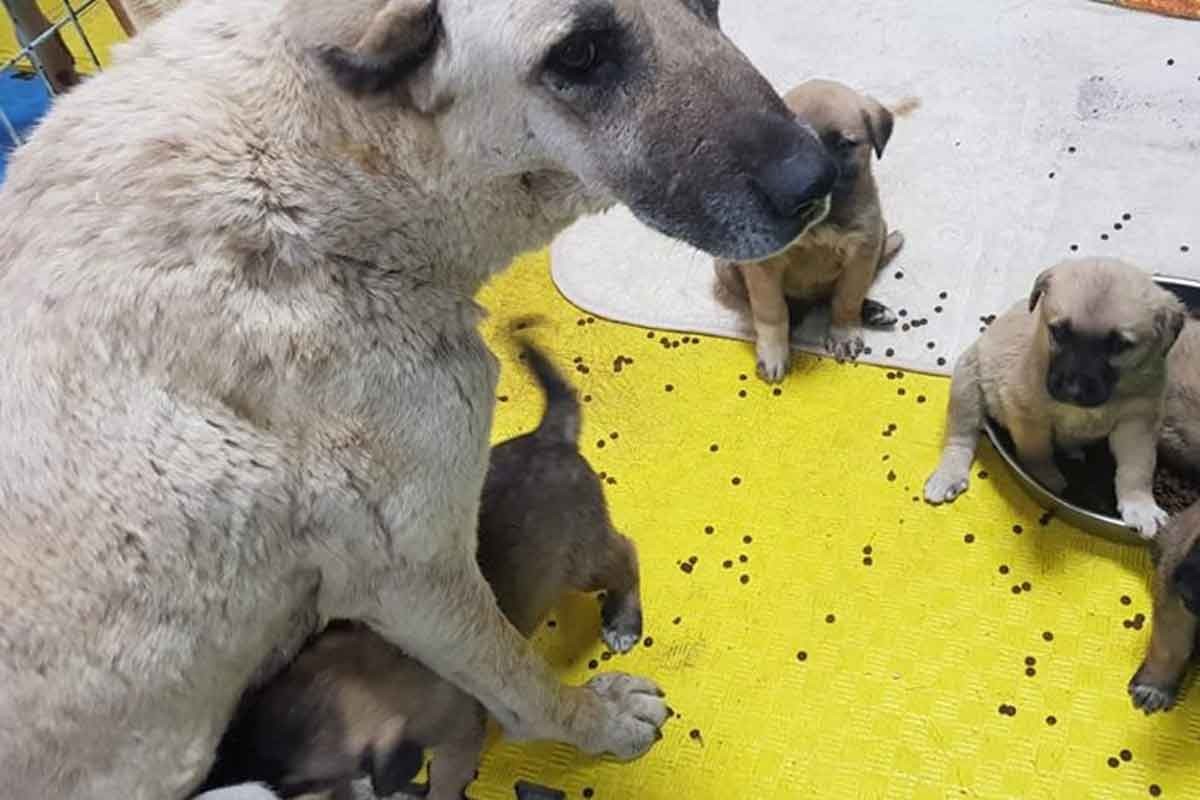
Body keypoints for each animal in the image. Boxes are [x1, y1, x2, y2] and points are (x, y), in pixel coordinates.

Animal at [199, 343, 648, 800]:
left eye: (303, 784)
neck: (372, 667)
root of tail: (549, 437)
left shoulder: (459, 739)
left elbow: (445, 781)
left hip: (583, 559)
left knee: (626, 554)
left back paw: (623, 619)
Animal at [710, 79, 907, 381]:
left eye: (844, 144)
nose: (812, 184)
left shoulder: (862, 250)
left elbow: (846, 298)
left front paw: (844, 332)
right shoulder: (764, 265)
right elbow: (771, 311)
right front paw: (774, 352)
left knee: (833, 296)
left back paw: (873, 311)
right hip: (725, 266)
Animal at [921, 260, 1185, 542]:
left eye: (1118, 345)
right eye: (1058, 332)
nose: (1072, 389)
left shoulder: (1136, 424)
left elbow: (1137, 468)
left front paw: (1140, 506)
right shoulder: (1026, 414)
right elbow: (1038, 453)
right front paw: (1049, 480)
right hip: (967, 385)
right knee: (960, 437)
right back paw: (949, 475)